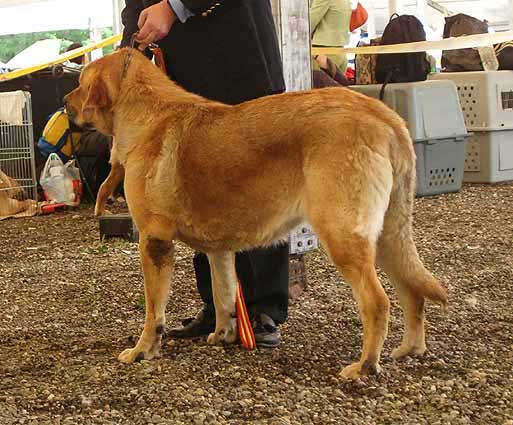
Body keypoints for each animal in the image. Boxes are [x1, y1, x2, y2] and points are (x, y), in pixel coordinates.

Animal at [65, 48, 448, 378]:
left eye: (81, 82)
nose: (65, 102)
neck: (147, 116)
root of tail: (382, 113)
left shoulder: (154, 240)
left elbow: (153, 310)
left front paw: (143, 350)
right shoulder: (219, 250)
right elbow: (223, 295)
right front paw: (223, 335)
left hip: (344, 235)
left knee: (378, 302)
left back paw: (365, 365)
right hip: (386, 235)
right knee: (411, 291)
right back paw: (409, 349)